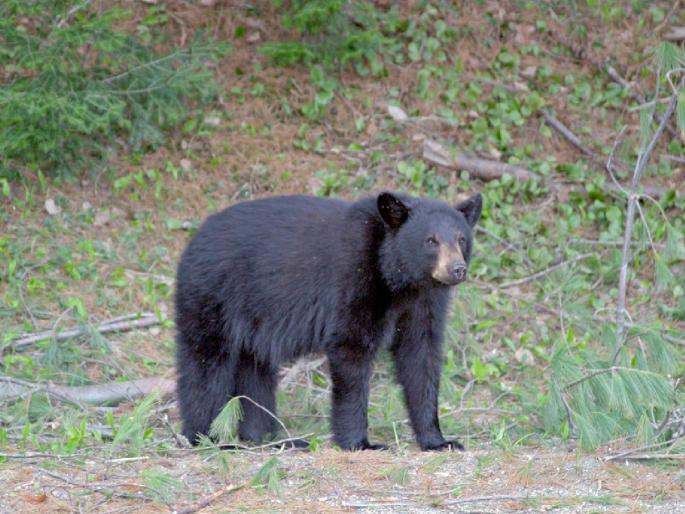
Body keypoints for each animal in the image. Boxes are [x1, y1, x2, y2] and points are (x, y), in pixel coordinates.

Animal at [174, 191, 482, 451]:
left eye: (461, 239)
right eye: (431, 241)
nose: (457, 269)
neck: (400, 280)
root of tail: (194, 239)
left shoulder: (424, 303)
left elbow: (421, 357)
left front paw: (438, 440)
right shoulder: (354, 281)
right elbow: (351, 348)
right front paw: (360, 442)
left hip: (254, 320)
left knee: (255, 369)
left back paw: (270, 438)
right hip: (214, 295)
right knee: (206, 363)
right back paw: (209, 438)